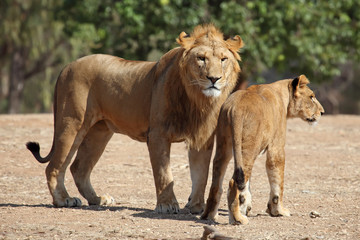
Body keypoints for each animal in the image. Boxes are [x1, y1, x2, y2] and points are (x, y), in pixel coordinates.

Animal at [26, 23, 245, 213]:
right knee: (55, 167)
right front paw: (167, 205)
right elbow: (164, 173)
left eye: (223, 59)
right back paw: (63, 199)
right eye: (201, 58)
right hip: (72, 124)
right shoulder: (157, 134)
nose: (214, 79)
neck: (197, 99)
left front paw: (196, 207)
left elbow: (201, 174)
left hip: (99, 132)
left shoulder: (202, 136)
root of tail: (66, 66)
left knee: (78, 167)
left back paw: (98, 199)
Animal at [201, 74, 324, 223]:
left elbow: (247, 185)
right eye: (311, 97)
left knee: (216, 182)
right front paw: (278, 211)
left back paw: (209, 215)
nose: (322, 112)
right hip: (249, 148)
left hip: (224, 146)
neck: (283, 95)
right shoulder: (276, 147)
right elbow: (277, 181)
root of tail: (235, 108)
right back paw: (238, 219)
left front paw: (245, 206)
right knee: (233, 182)